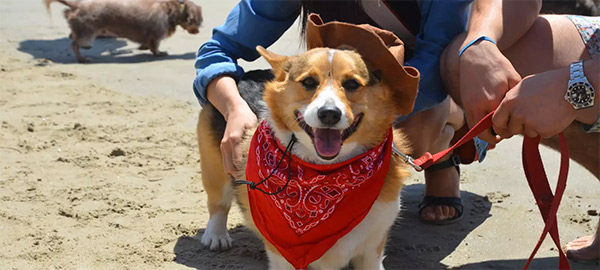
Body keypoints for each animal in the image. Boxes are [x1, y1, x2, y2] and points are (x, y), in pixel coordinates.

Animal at [43, 0, 202, 62]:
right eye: (198, 21)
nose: (198, 32)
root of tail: (77, 4)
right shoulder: (157, 34)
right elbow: (155, 46)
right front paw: (159, 53)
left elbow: (147, 43)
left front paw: (143, 47)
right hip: (87, 33)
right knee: (75, 44)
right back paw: (82, 58)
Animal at [195, 15, 420, 270]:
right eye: (309, 82)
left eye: (352, 84)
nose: (329, 114)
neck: (324, 173)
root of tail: (241, 76)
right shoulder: (283, 256)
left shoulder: (371, 251)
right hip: (215, 165)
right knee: (218, 202)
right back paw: (216, 235)